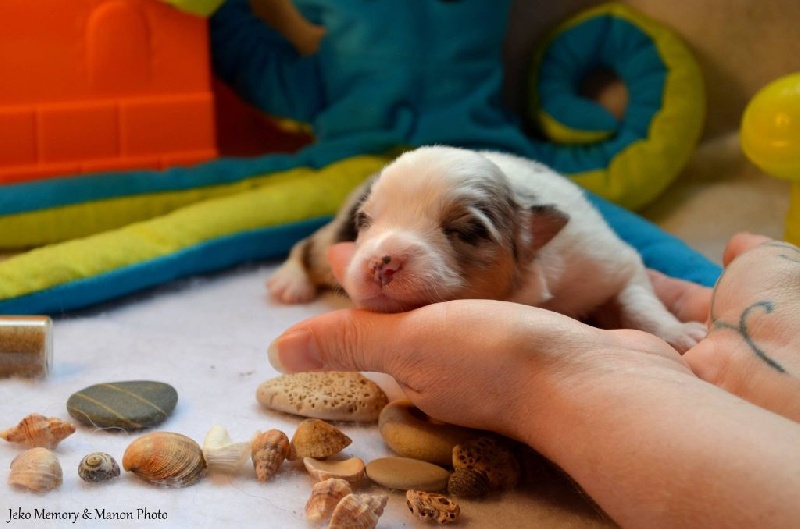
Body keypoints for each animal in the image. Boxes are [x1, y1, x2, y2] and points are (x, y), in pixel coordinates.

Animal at [267, 146, 707, 352]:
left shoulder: (607, 261)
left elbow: (639, 298)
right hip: (330, 242)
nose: (380, 263)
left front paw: (679, 332)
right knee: (308, 243)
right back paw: (289, 282)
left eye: (467, 230)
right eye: (365, 223)